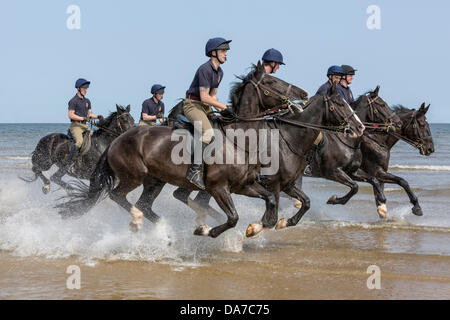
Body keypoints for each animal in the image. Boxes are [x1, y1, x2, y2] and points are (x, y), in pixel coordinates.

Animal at [54, 62, 312, 238]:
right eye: (271, 82)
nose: (304, 94)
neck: (239, 141)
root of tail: (116, 140)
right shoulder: (219, 187)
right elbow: (232, 218)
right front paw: (205, 230)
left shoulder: (244, 185)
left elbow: (269, 200)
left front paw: (258, 227)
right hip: (133, 176)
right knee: (119, 196)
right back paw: (139, 221)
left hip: (155, 181)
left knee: (144, 205)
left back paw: (164, 229)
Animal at [298, 86, 402, 219]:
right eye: (382, 104)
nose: (399, 122)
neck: (348, 140)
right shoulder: (333, 172)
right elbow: (355, 187)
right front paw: (334, 199)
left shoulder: (353, 172)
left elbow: (373, 180)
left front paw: (381, 202)